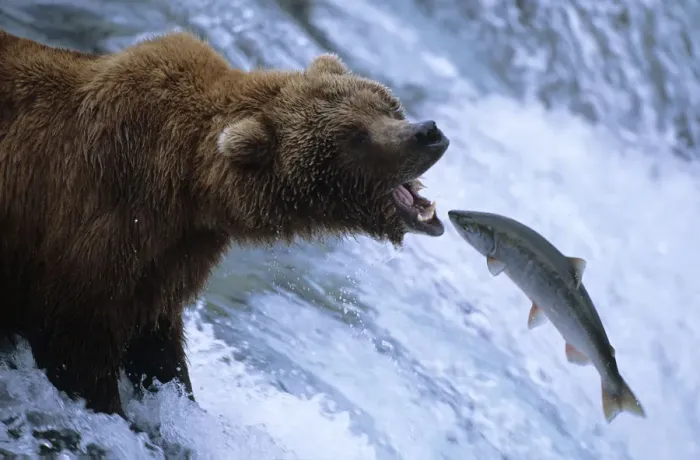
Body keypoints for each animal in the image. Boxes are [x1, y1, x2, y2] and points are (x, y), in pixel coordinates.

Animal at [0, 29, 449, 418]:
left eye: (385, 105)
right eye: (357, 136)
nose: (428, 131)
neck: (188, 184)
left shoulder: (171, 254)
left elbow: (156, 343)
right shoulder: (95, 224)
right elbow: (77, 347)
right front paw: (114, 409)